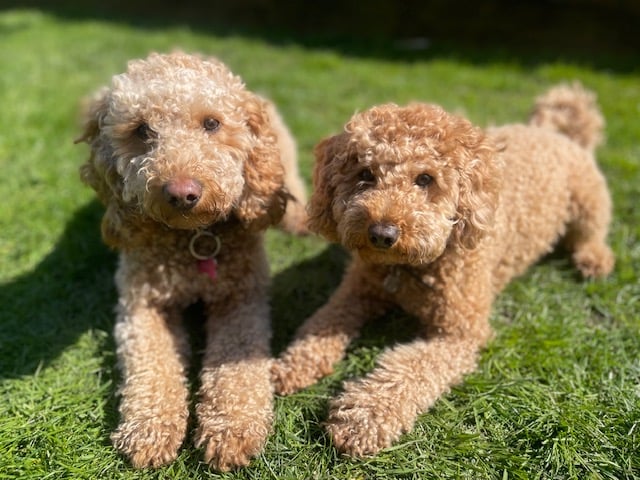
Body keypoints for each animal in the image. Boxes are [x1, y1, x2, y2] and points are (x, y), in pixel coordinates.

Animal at [77, 51, 308, 468]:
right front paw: (150, 427)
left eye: (212, 123)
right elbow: (152, 365)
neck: (192, 239)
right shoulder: (141, 305)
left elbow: (236, 360)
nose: (182, 192)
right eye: (142, 130)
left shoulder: (242, 297)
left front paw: (232, 426)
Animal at [272, 83, 616, 458]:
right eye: (365, 174)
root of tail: (555, 132)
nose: (382, 234)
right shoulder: (355, 291)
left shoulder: (459, 333)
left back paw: (594, 260)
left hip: (588, 201)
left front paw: (362, 416)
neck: (409, 268)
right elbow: (319, 325)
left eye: (426, 179)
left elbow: (410, 369)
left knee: (591, 232)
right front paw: (289, 366)